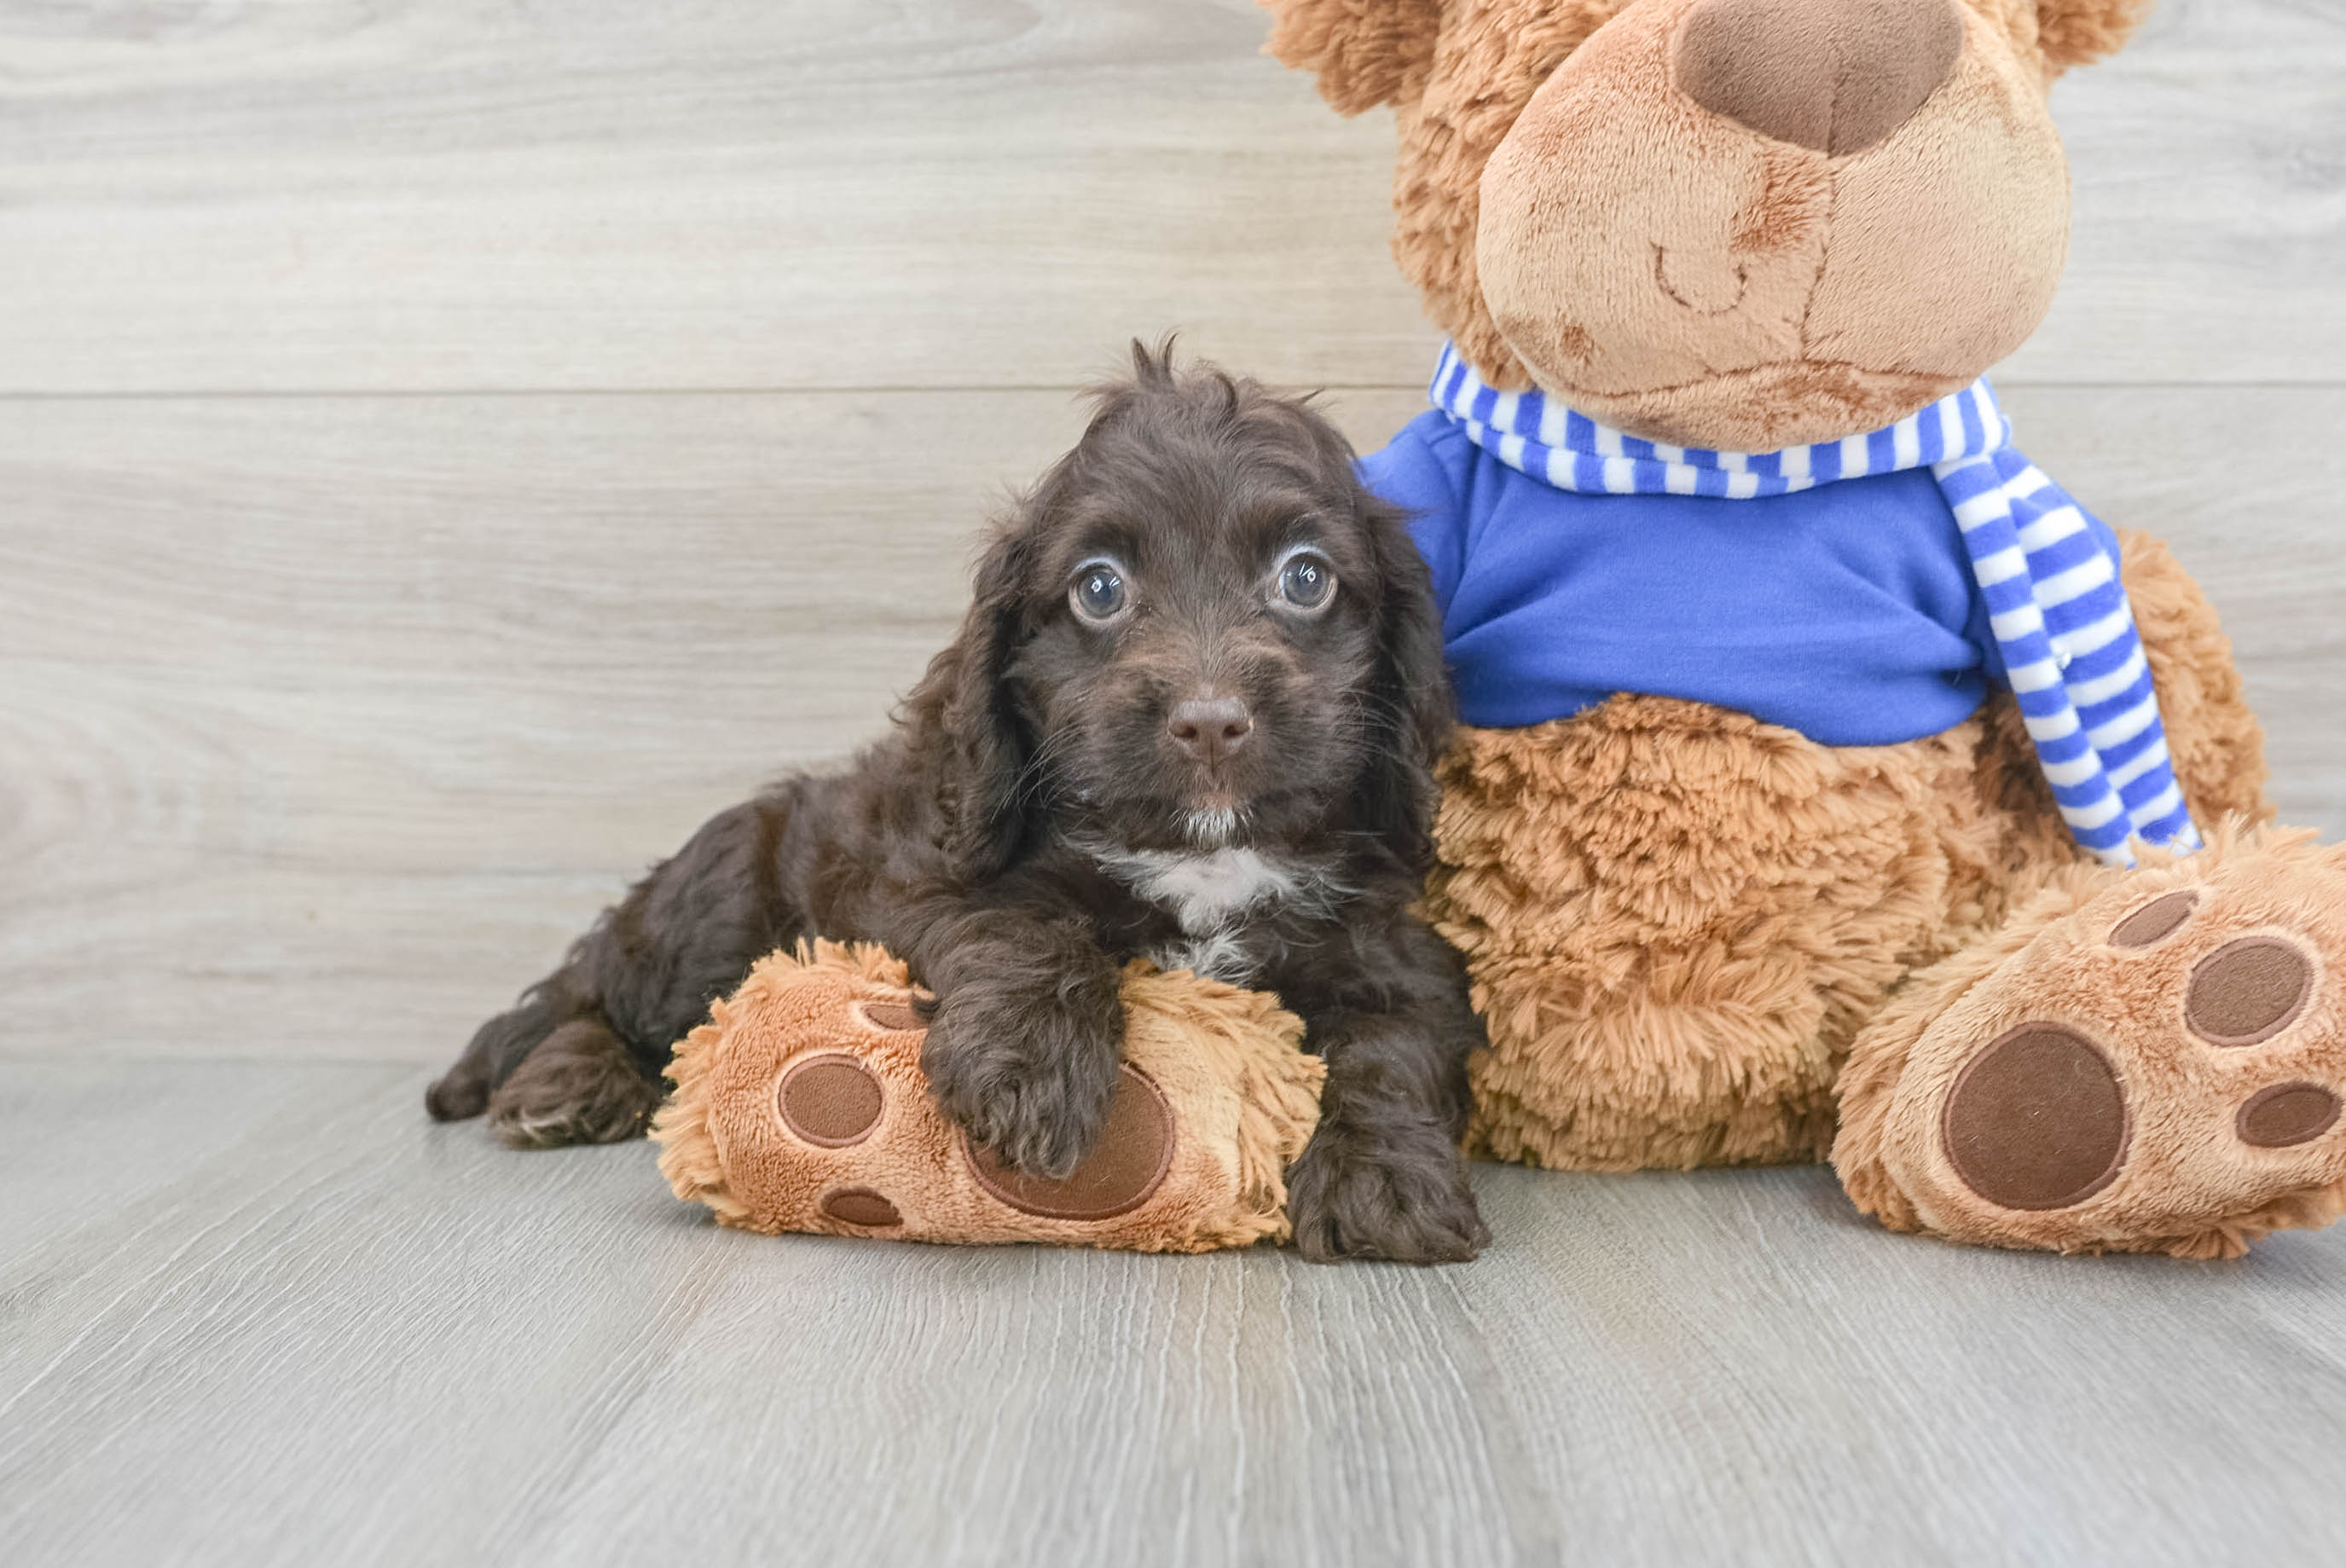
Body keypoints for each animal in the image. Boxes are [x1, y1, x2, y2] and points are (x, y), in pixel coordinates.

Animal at [426, 342, 1482, 1258]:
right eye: (1100, 589)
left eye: (1305, 577)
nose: (1211, 721)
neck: (1204, 855)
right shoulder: (918, 872)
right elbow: (1021, 925)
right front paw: (1028, 1069)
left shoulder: (1396, 950)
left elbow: (1392, 1043)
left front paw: (1385, 1177)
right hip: (714, 900)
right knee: (599, 994)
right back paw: (566, 1080)